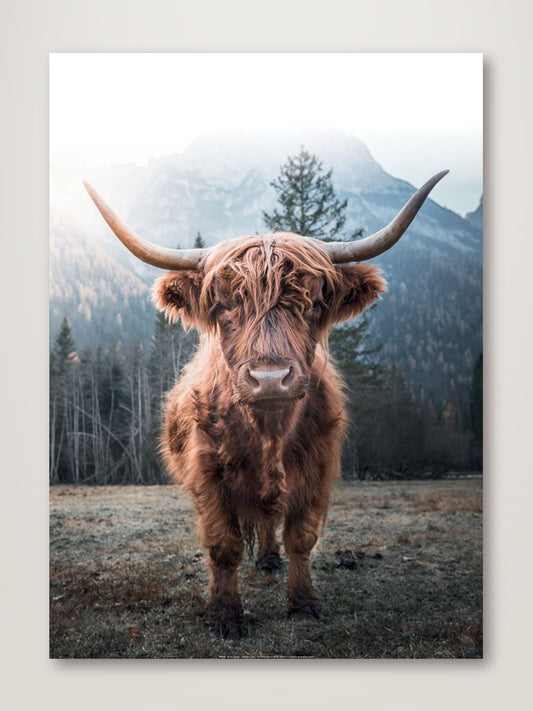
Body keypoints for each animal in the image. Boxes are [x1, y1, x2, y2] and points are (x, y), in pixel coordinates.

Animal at [84, 170, 447, 640]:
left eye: (313, 302)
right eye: (223, 304)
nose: (270, 378)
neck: (269, 433)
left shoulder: (316, 470)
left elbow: (301, 538)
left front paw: (304, 603)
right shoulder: (208, 475)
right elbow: (223, 545)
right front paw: (224, 615)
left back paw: (271, 560)